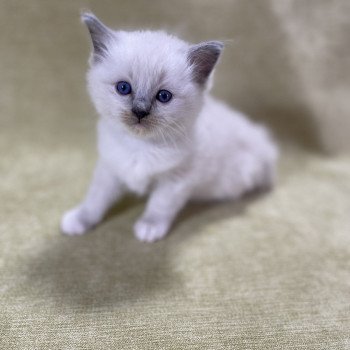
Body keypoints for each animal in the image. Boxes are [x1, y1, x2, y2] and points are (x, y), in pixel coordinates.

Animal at [60, 14, 278, 243]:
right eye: (123, 88)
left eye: (163, 96)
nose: (140, 111)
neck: (140, 146)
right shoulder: (110, 167)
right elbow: (96, 198)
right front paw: (80, 220)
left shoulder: (176, 180)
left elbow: (159, 205)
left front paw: (149, 227)